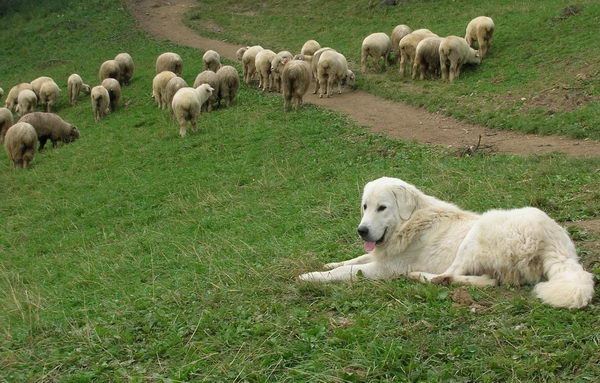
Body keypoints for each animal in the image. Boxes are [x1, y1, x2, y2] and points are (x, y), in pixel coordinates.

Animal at [300, 178, 596, 308]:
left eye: (382, 208)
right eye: (365, 207)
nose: (361, 231)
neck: (410, 221)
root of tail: (556, 246)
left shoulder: (385, 268)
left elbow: (348, 271)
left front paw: (310, 276)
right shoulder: (379, 255)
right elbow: (353, 259)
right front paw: (328, 263)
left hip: (478, 231)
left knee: (447, 275)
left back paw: (418, 276)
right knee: (485, 280)